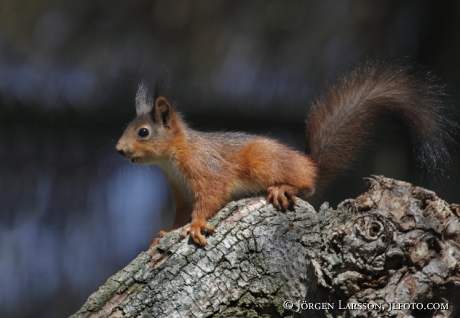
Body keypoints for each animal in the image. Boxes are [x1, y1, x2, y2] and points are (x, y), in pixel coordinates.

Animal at [116, 60, 460, 247]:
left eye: (143, 132)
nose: (119, 150)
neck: (173, 158)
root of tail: (309, 164)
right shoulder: (180, 191)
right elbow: (181, 214)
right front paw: (164, 233)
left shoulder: (206, 170)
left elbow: (210, 198)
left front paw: (197, 225)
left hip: (264, 162)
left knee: (306, 186)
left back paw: (284, 187)